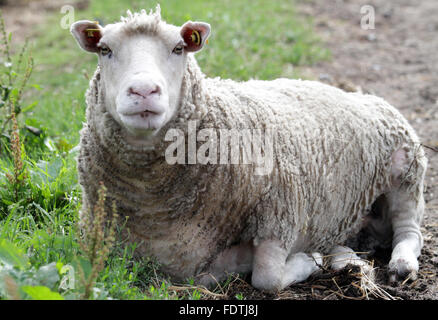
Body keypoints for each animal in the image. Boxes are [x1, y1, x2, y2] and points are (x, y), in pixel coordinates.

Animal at [71, 5, 428, 290]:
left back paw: (400, 265)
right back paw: (347, 261)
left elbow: (267, 278)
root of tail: (362, 95)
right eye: (104, 49)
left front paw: (305, 262)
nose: (144, 90)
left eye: (178, 48)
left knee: (410, 230)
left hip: (406, 169)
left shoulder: (281, 210)